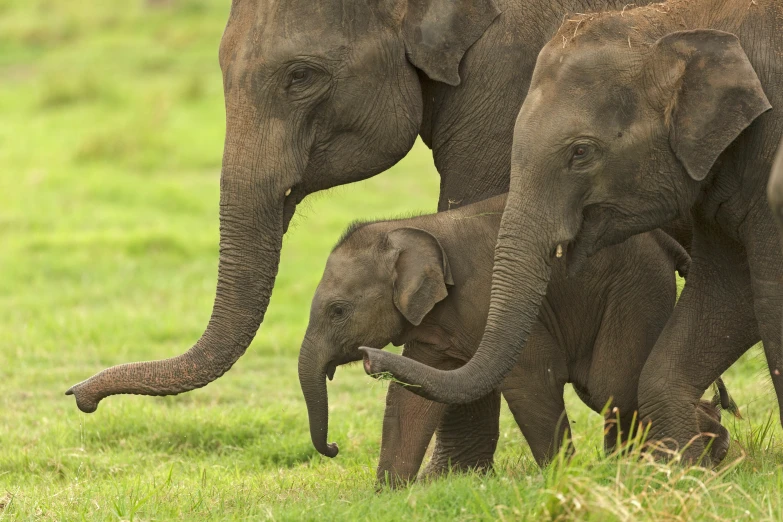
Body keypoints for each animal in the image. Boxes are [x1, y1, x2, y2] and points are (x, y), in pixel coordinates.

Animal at [300, 193, 736, 482]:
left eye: (338, 311)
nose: (334, 448)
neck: (414, 227)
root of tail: (664, 241)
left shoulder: (491, 298)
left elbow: (531, 378)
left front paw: (561, 480)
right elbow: (410, 399)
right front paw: (389, 494)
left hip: (635, 287)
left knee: (611, 386)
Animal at [366, 0, 783, 462]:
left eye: (580, 152)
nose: (368, 359)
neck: (680, 22)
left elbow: (766, 302)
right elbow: (728, 292)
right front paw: (683, 467)